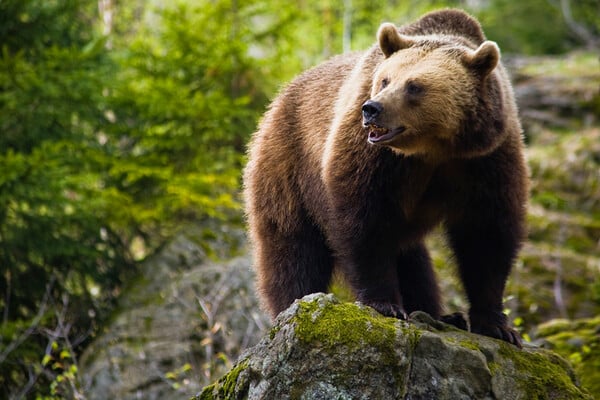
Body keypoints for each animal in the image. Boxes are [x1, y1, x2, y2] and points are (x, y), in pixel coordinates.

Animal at [241, 10, 528, 346]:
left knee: (412, 258)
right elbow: (364, 222)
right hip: (287, 164)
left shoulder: (485, 159)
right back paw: (292, 303)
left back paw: (441, 314)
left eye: (414, 86)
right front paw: (384, 304)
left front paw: (496, 324)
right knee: (293, 247)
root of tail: (279, 97)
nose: (372, 108)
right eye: (385, 79)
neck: (433, 149)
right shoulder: (374, 158)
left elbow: (486, 234)